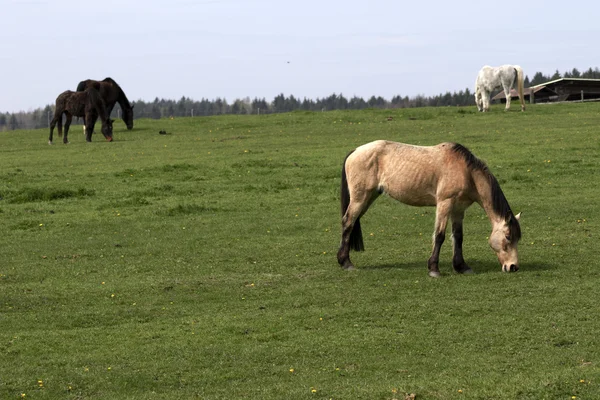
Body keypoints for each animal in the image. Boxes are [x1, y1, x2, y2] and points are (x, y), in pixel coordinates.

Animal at [338, 141, 520, 278]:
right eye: (508, 236)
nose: (513, 267)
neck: (465, 171)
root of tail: (355, 151)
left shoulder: (458, 210)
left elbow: (458, 237)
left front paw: (461, 266)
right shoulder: (445, 204)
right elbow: (439, 236)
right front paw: (434, 269)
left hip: (368, 198)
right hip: (360, 199)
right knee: (348, 222)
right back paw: (346, 262)